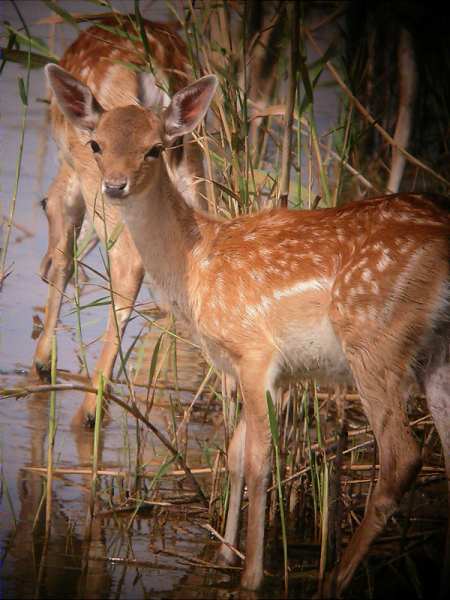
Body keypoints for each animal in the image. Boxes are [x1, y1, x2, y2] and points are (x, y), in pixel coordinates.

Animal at [33, 15, 207, 426]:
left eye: (43, 206)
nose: (40, 267)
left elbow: (66, 253)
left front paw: (43, 361)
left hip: (107, 184)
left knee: (127, 264)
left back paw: (89, 410)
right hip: (191, 159)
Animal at [45, 67, 450, 600]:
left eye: (155, 148)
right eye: (96, 143)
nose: (115, 185)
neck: (195, 264)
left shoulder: (257, 354)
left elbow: (259, 462)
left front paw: (252, 575)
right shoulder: (258, 370)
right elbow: (236, 454)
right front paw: (222, 554)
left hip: (373, 336)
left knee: (401, 457)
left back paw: (331, 581)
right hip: (434, 351)